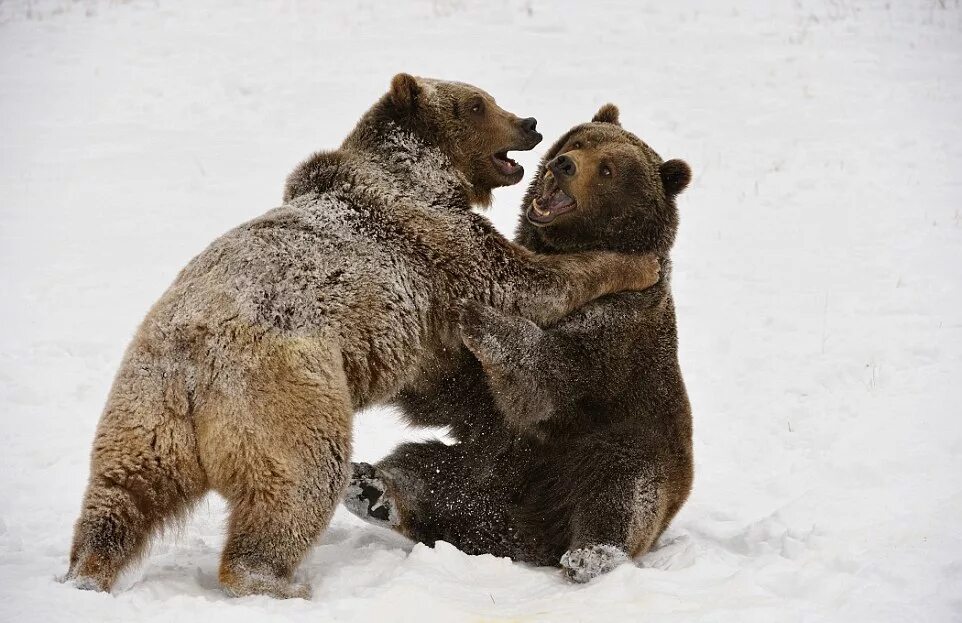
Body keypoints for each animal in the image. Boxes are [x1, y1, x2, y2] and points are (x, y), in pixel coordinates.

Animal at [344, 103, 688, 584]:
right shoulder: (488, 412)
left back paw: (591, 555)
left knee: (620, 496)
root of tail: (529, 530)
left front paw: (474, 311)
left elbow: (547, 374)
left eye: (607, 169)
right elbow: (459, 393)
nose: (563, 165)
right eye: (578, 142)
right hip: (486, 463)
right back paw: (373, 490)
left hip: (623, 449)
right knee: (428, 469)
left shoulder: (617, 330)